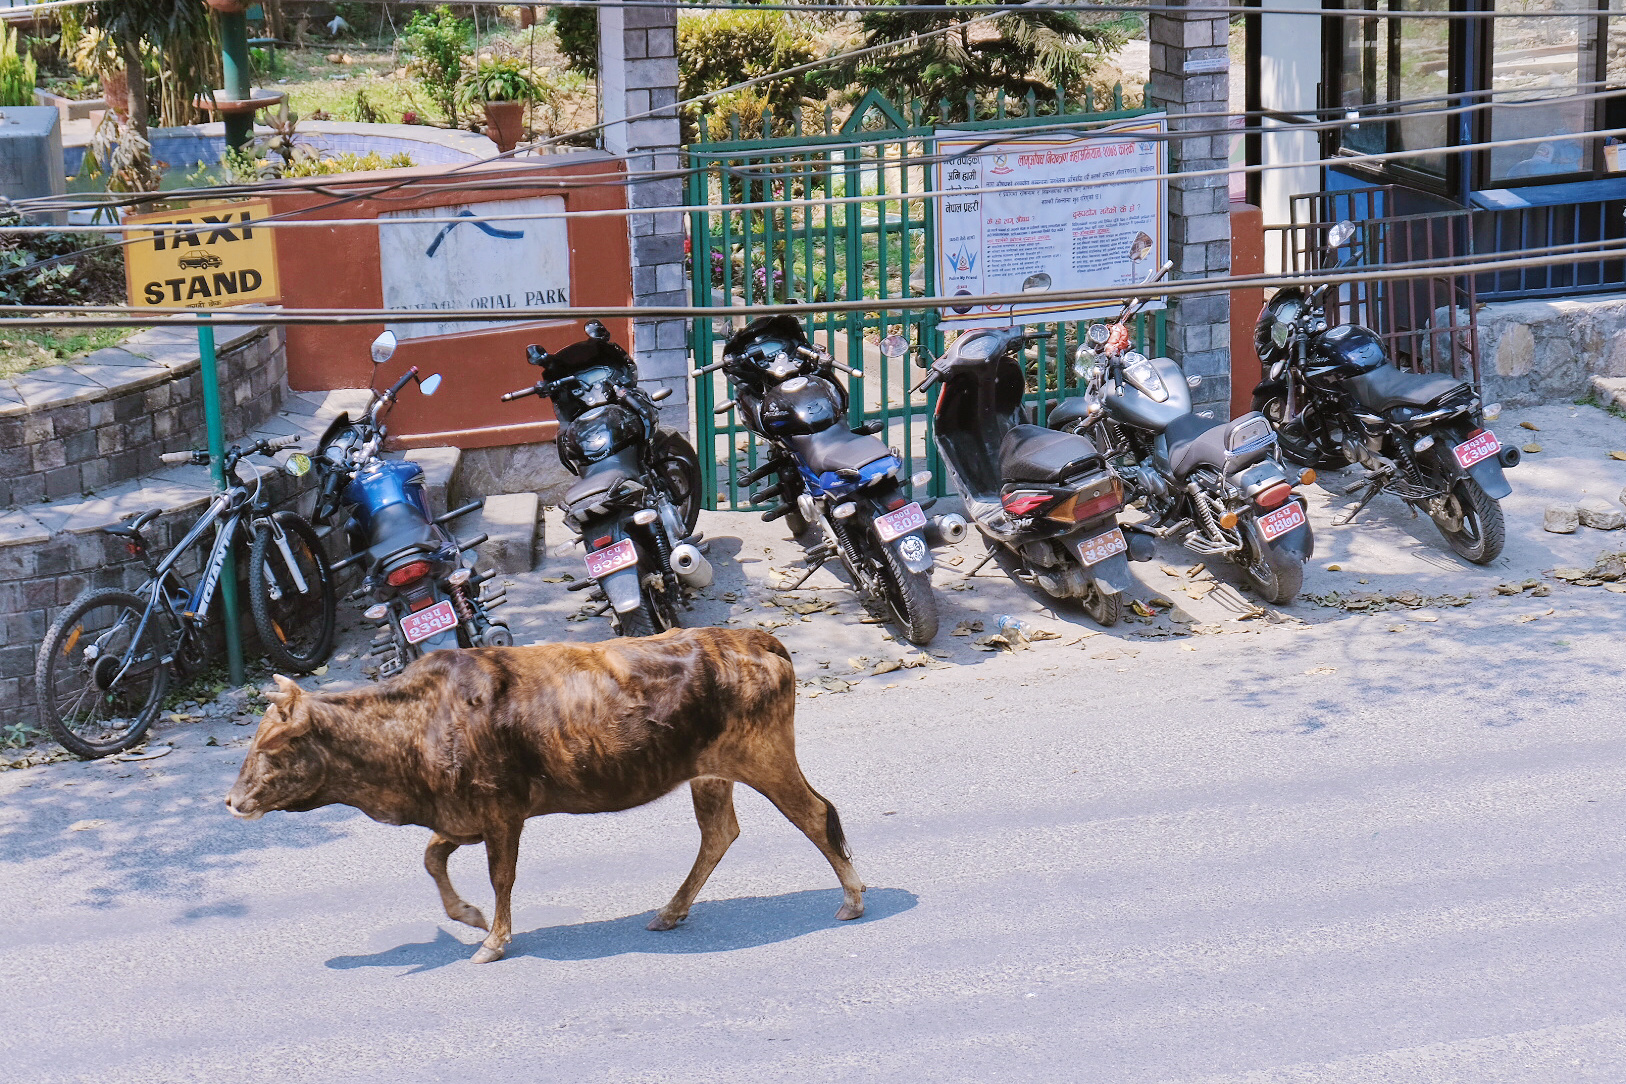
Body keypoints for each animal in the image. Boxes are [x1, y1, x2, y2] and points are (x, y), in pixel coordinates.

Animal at [227, 627, 871, 968]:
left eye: (273, 745)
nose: (232, 802)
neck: (419, 723)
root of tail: (754, 637)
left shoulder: (500, 811)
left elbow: (500, 876)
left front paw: (492, 940)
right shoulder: (461, 814)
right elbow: (432, 858)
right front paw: (467, 915)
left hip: (764, 757)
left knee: (817, 815)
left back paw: (852, 900)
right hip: (710, 773)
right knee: (719, 834)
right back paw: (670, 911)